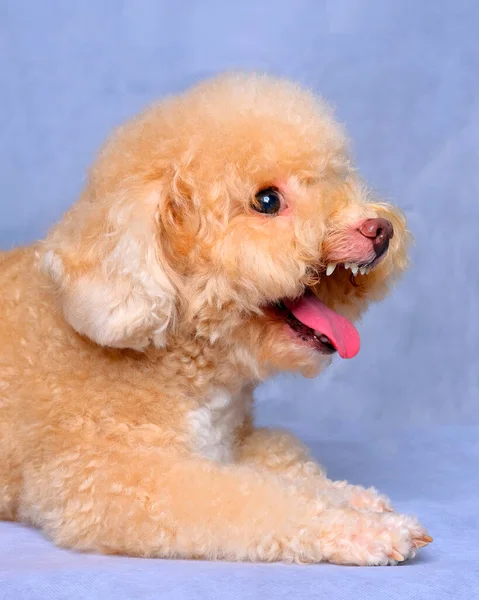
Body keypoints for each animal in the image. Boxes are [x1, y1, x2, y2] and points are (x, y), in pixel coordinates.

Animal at [0, 72, 434, 564]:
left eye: (333, 178)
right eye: (267, 200)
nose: (380, 230)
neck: (175, 358)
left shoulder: (236, 445)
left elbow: (290, 470)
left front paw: (355, 496)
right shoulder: (115, 479)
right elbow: (263, 499)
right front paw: (366, 528)